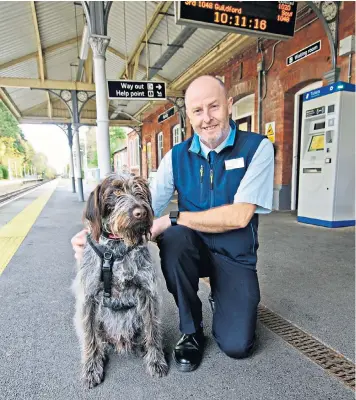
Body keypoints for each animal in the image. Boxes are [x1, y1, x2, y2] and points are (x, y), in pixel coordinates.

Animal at [72, 173, 168, 390]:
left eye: (140, 191)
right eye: (115, 192)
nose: (140, 212)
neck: (116, 248)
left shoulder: (148, 293)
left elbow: (153, 331)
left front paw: (156, 360)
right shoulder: (88, 299)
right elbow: (89, 338)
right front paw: (91, 368)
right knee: (97, 340)